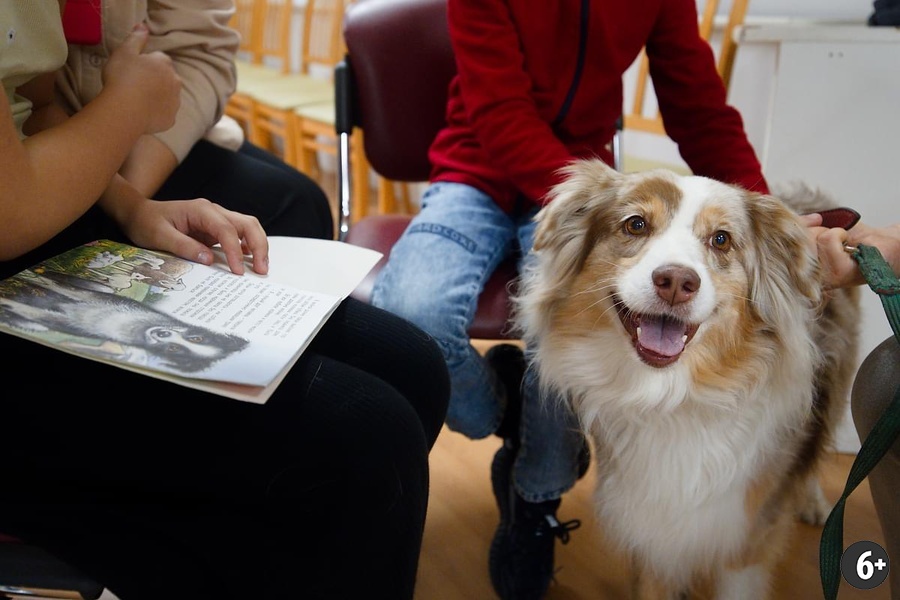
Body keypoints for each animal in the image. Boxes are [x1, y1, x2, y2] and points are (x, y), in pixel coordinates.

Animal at [513, 159, 859, 599]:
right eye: (636, 225)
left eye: (722, 239)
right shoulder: (652, 534)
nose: (677, 282)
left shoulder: (745, 541)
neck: (674, 396)